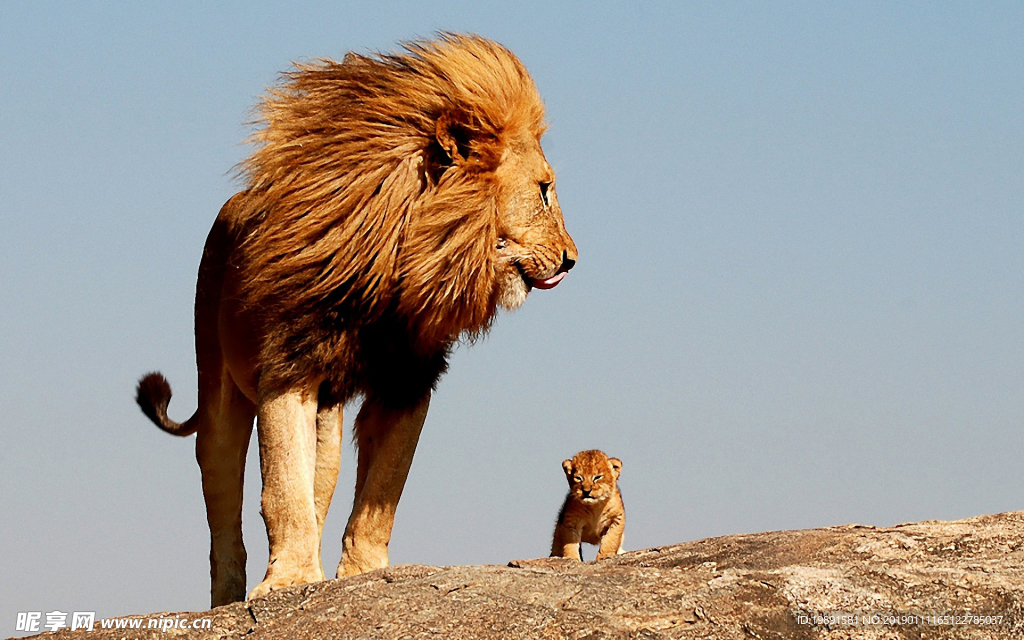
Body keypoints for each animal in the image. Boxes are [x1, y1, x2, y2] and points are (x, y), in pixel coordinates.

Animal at [136, 34, 577, 602]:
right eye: (544, 189)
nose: (572, 259)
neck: (398, 267)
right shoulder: (288, 369)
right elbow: (282, 489)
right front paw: (288, 581)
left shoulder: (408, 381)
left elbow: (382, 492)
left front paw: (360, 574)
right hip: (217, 389)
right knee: (223, 502)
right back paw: (230, 597)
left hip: (328, 422)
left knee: (319, 485)